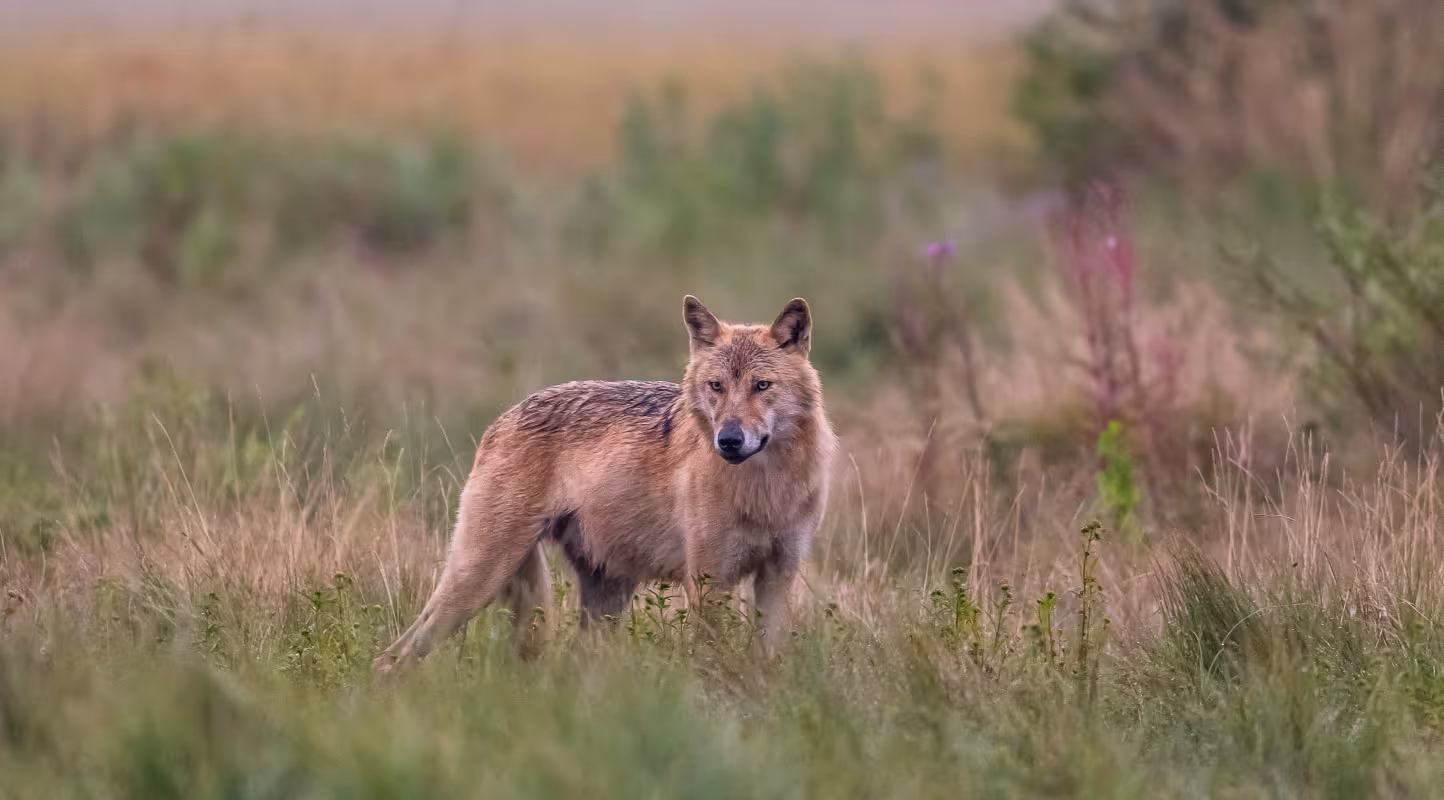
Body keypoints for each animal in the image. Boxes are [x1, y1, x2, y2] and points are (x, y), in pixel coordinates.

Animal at [373, 296, 837, 672]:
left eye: (762, 386)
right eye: (716, 387)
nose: (729, 440)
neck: (765, 489)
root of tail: (500, 420)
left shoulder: (778, 576)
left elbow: (766, 661)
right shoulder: (709, 584)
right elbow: (711, 664)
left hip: (603, 600)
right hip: (479, 579)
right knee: (391, 658)